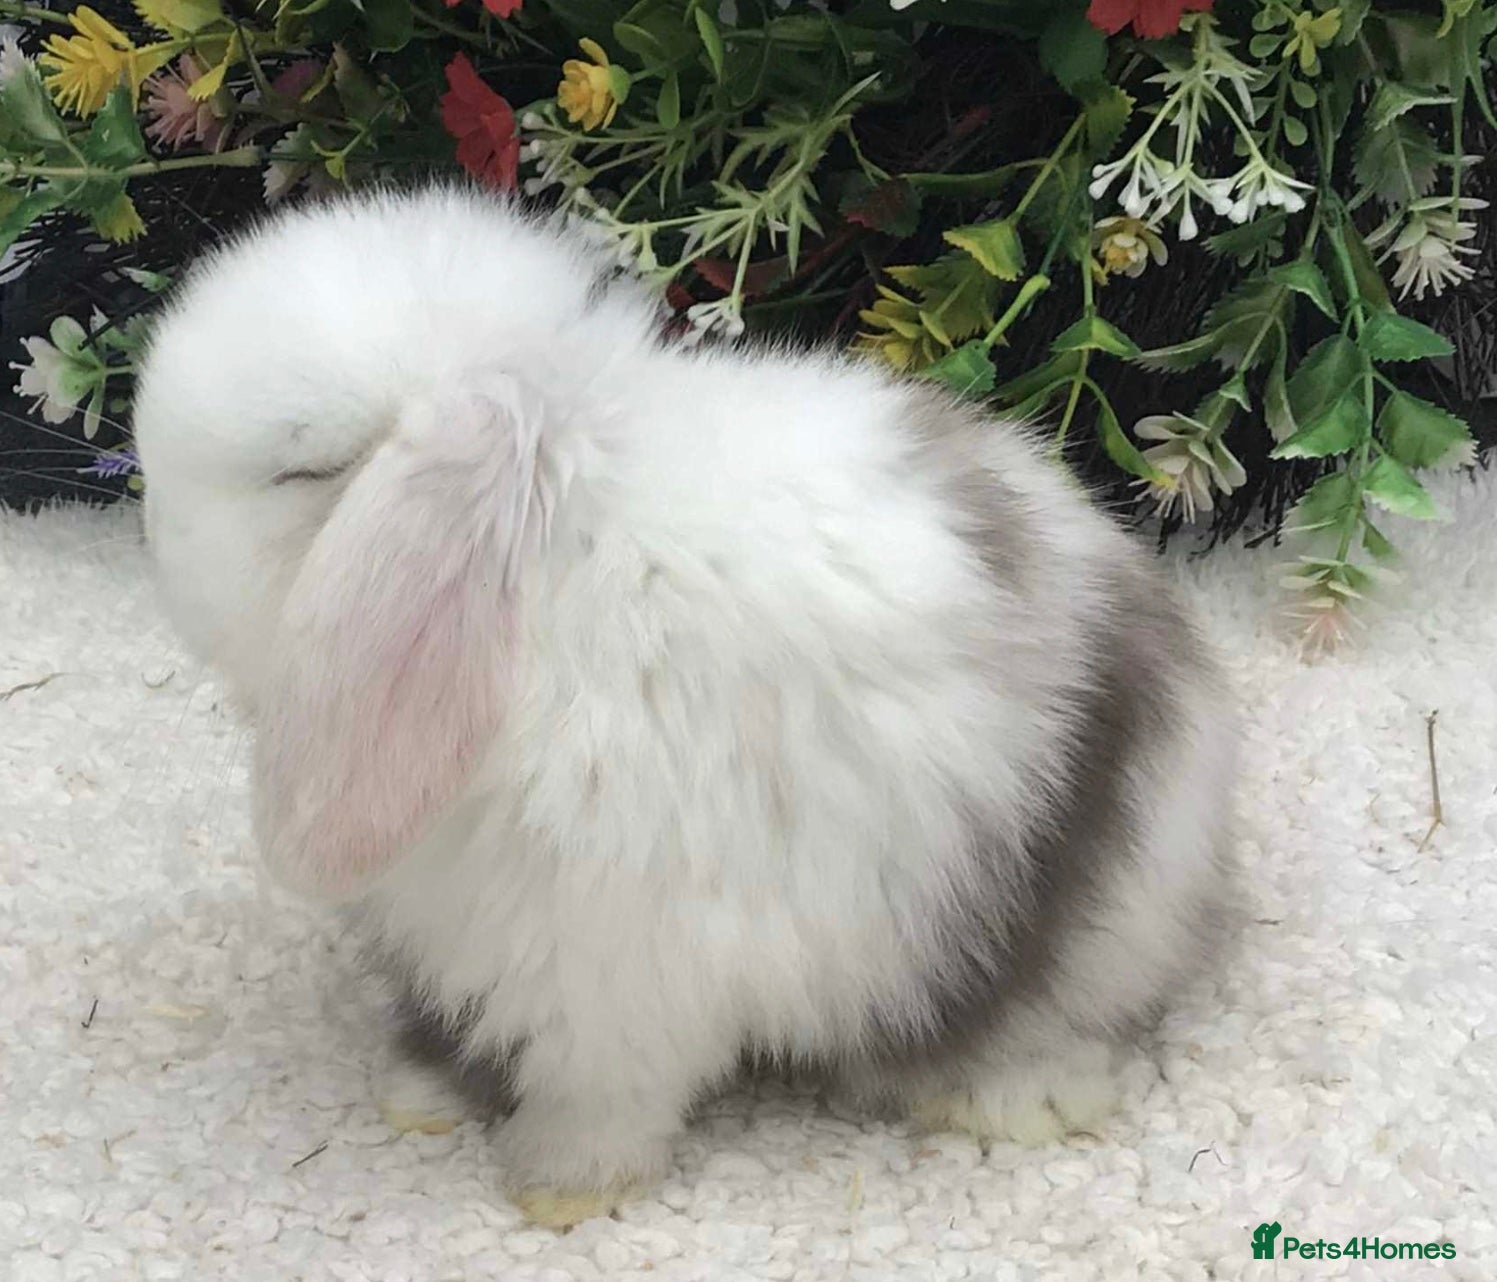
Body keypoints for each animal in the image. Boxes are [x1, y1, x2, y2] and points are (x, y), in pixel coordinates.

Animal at [131, 184, 1238, 1230]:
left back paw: (1016, 1098)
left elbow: (605, 1094)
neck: (549, 561)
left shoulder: (610, 962)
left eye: (301, 471)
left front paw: (557, 1189)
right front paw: (419, 1093)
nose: (151, 530)